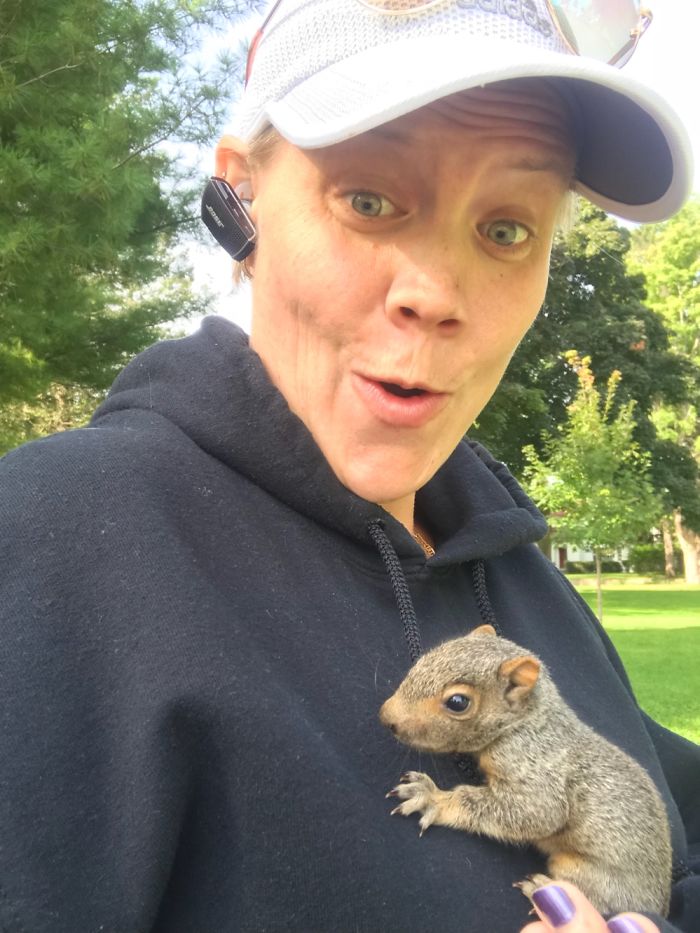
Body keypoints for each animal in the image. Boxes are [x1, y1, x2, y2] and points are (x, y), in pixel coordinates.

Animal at [379, 624, 672, 917]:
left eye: (458, 702)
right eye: (424, 659)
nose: (386, 716)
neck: (527, 721)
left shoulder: (533, 764)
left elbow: (537, 812)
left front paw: (434, 799)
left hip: (590, 875)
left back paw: (542, 891)